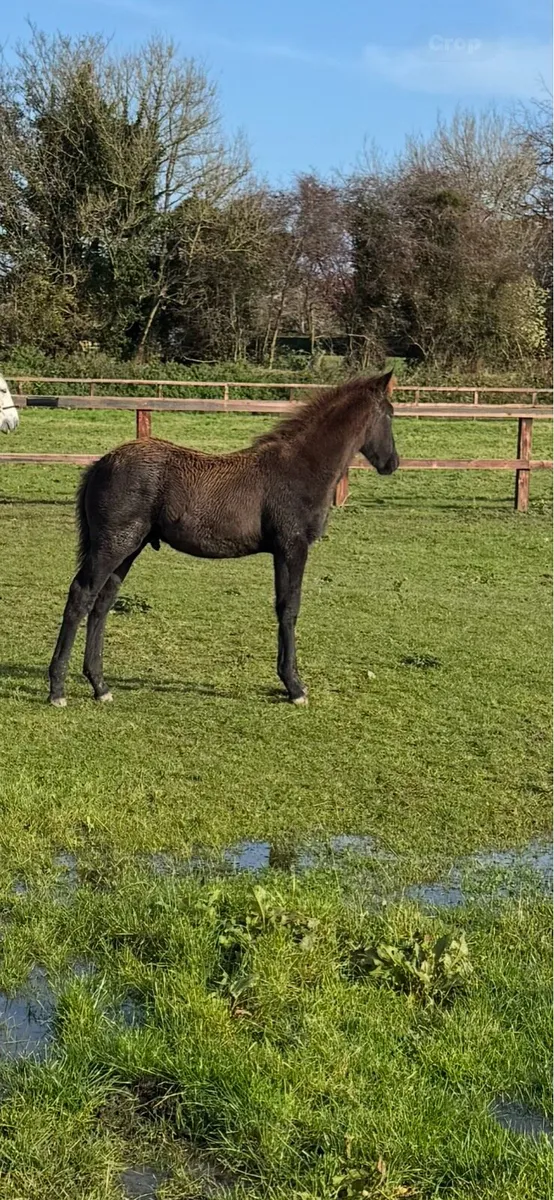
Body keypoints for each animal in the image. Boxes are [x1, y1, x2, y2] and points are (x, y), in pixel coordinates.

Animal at [48, 371, 399, 708]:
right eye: (390, 414)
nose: (392, 463)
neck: (299, 467)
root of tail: (100, 464)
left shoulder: (281, 551)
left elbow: (282, 606)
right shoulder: (292, 546)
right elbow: (290, 608)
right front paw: (295, 687)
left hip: (129, 548)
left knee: (102, 603)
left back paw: (100, 686)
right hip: (113, 545)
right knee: (81, 595)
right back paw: (57, 689)